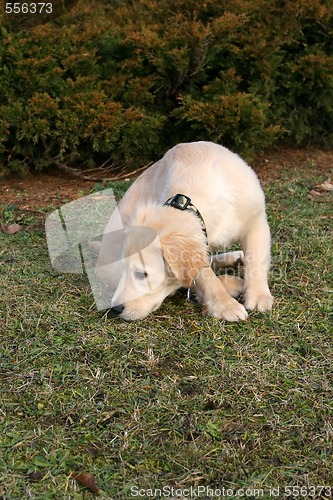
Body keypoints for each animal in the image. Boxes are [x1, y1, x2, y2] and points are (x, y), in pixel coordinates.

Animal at [93, 142, 272, 320]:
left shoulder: (256, 219)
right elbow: (206, 276)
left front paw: (259, 296)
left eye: (141, 274)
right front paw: (226, 305)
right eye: (125, 269)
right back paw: (233, 282)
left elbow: (256, 258)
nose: (115, 308)